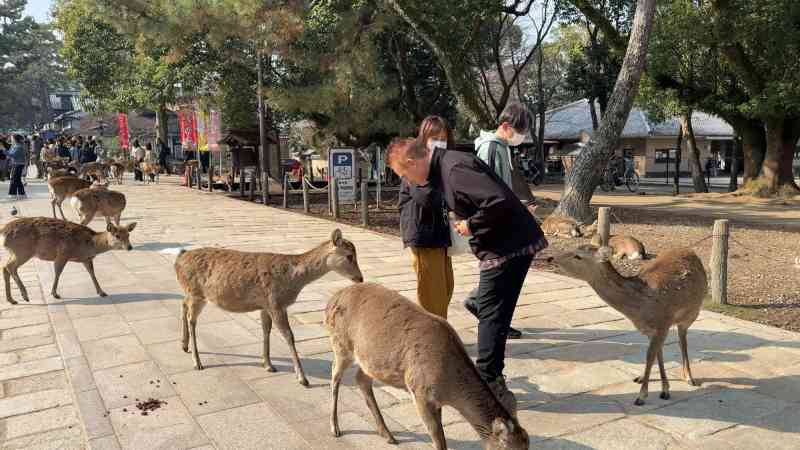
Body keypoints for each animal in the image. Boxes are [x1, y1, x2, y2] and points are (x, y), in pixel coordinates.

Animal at [1, 217, 136, 303]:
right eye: (117, 236)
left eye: (128, 235)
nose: (129, 247)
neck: (90, 245)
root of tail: (3, 232)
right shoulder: (63, 254)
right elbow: (58, 273)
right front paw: (55, 293)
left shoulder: (86, 259)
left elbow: (92, 274)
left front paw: (102, 292)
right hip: (23, 251)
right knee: (10, 267)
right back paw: (25, 295)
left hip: (16, 252)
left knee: (4, 267)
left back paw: (11, 299)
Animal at [174, 229, 363, 385]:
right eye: (349, 255)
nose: (360, 278)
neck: (293, 278)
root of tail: (179, 259)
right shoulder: (275, 302)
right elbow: (289, 336)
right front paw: (302, 379)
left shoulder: (265, 305)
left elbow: (266, 330)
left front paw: (268, 364)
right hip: (196, 292)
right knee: (192, 319)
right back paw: (197, 362)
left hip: (191, 293)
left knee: (183, 305)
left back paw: (184, 345)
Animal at [326, 283, 529, 450]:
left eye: (527, 445)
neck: (450, 389)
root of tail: (333, 299)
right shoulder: (420, 391)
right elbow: (439, 441)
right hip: (341, 344)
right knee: (335, 376)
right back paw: (335, 428)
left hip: (369, 360)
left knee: (361, 379)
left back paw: (388, 434)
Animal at [553, 245, 707, 405]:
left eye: (578, 256)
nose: (551, 258)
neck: (640, 307)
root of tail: (691, 251)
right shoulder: (650, 329)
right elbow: (656, 354)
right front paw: (664, 389)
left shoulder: (662, 323)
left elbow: (650, 355)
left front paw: (642, 396)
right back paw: (643, 378)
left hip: (692, 313)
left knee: (683, 340)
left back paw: (689, 377)